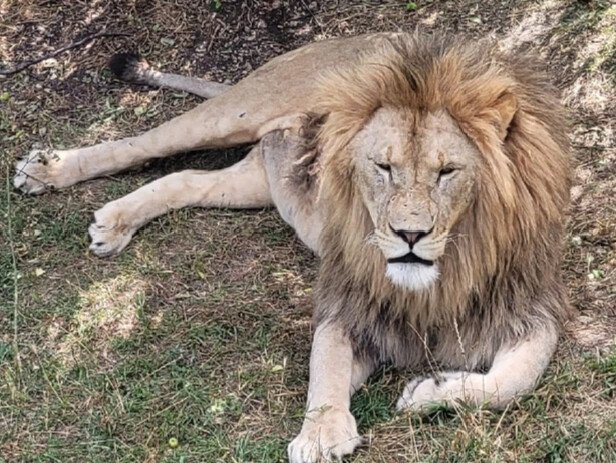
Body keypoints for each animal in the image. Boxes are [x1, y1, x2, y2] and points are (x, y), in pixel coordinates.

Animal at [13, 33, 572, 463]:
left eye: (447, 172)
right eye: (383, 167)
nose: (408, 235)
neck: (438, 278)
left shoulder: (532, 309)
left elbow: (513, 381)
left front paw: (425, 393)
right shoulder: (346, 303)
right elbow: (326, 364)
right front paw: (321, 434)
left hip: (258, 181)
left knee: (184, 178)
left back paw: (115, 222)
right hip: (235, 112)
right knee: (142, 144)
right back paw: (48, 172)